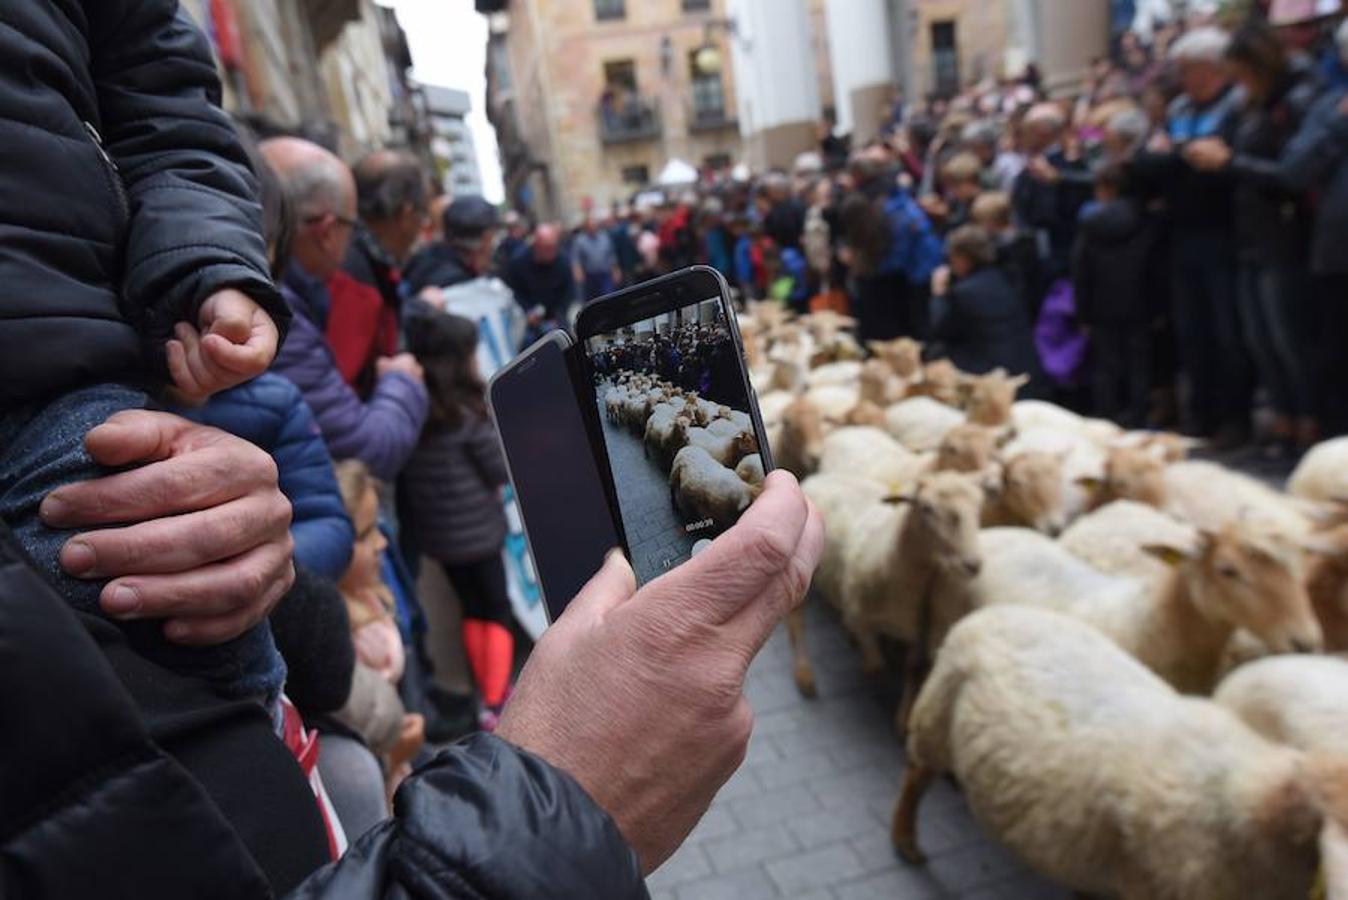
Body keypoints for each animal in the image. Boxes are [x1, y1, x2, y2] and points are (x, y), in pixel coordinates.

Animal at [797, 471, 984, 723]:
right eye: (927, 508)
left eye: (979, 506)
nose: (973, 564)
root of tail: (818, 476)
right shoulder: (860, 617)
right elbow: (876, 665)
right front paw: (869, 668)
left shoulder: (917, 633)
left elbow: (912, 669)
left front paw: (903, 718)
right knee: (795, 620)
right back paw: (804, 673)